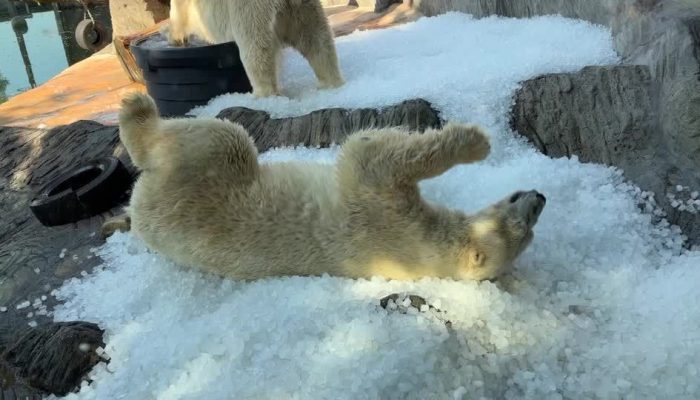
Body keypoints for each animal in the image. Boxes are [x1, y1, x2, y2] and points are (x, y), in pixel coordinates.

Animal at [116, 92, 546, 282]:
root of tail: (140, 217)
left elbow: (368, 156)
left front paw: (475, 142)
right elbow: (373, 155)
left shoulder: (386, 214)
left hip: (192, 189)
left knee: (220, 140)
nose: (540, 196)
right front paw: (478, 144)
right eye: (523, 218)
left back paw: (135, 110)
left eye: (526, 228)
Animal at [164, 0, 344, 97]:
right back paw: (331, 83)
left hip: (249, 9)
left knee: (256, 50)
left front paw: (174, 39)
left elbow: (177, 19)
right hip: (301, 9)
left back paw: (264, 95)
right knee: (317, 39)